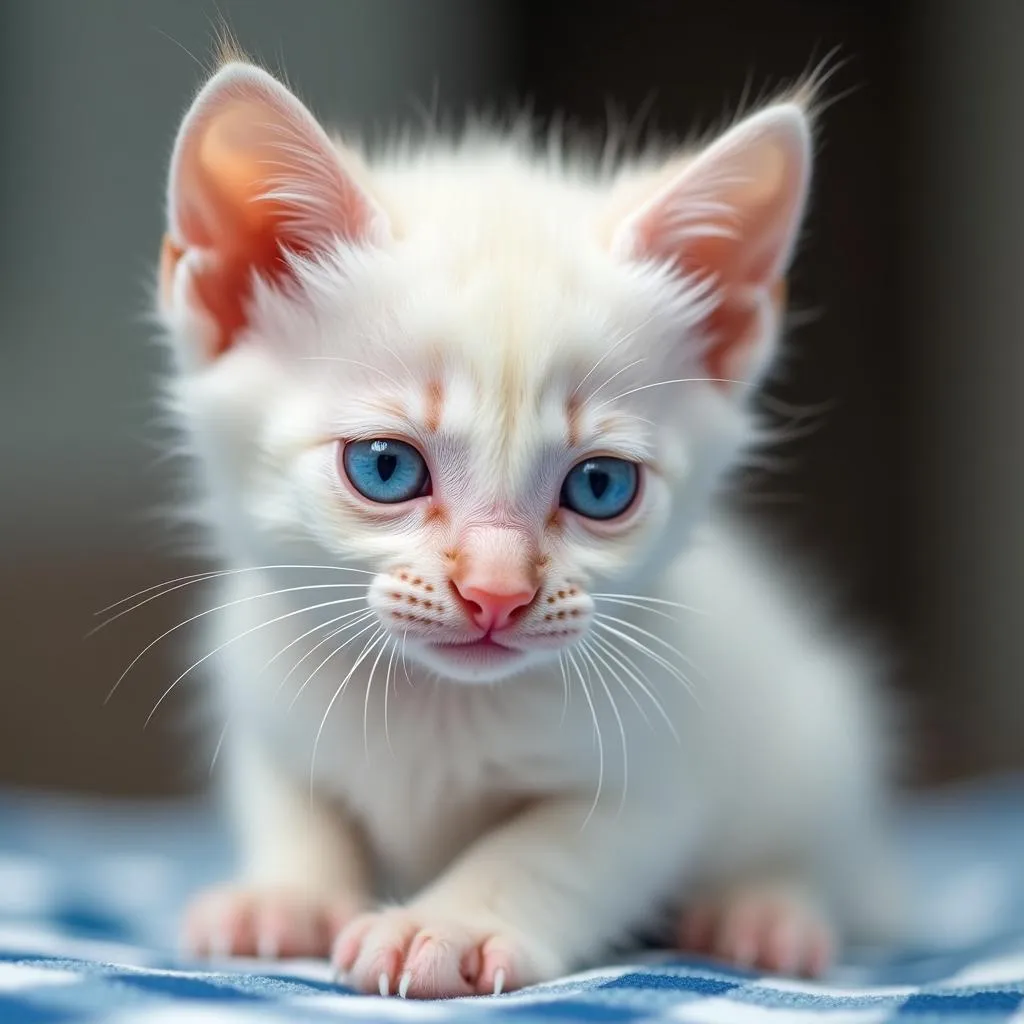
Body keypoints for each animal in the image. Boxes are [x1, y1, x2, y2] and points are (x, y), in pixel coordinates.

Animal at [153, 51, 905, 995]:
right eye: (385, 467)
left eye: (601, 486)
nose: (497, 593)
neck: (438, 706)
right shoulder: (264, 697)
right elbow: (295, 804)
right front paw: (284, 896)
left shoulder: (658, 773)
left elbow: (548, 853)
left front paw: (450, 923)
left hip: (818, 734)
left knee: (809, 849)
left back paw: (765, 914)